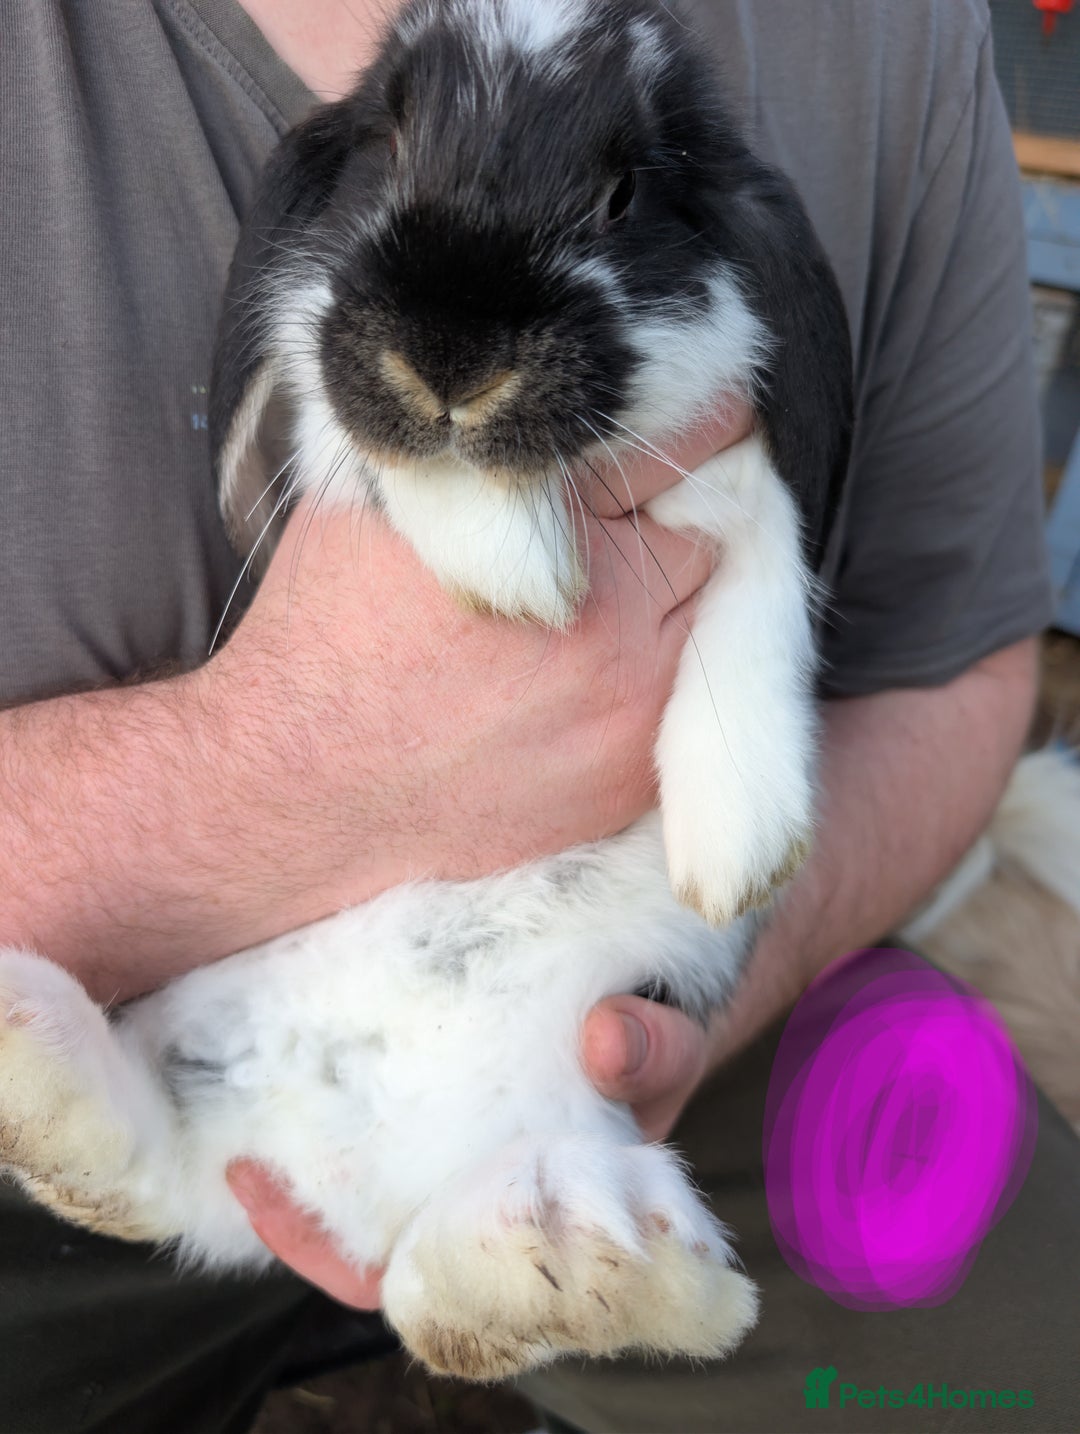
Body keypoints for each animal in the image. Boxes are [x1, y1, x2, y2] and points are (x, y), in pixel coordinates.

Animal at [0, 0, 851, 1381]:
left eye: (624, 192)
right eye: (391, 149)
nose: (447, 364)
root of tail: (338, 1164)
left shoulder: (737, 465)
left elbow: (767, 560)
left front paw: (740, 842)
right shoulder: (332, 416)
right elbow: (392, 462)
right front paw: (521, 569)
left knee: (426, 1285)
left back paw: (576, 1257)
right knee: (159, 1172)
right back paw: (37, 1053)